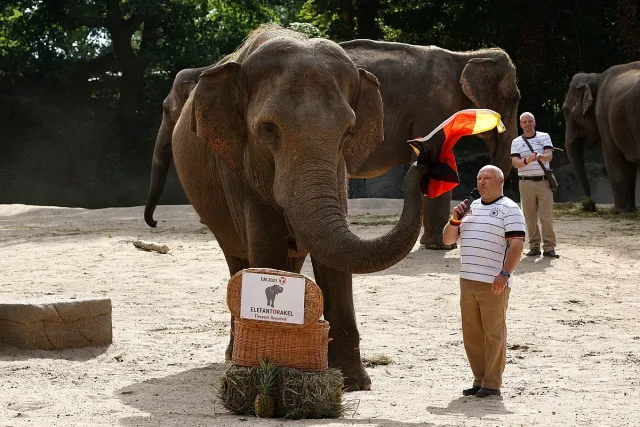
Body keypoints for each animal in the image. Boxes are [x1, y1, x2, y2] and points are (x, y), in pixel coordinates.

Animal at [156, 24, 434, 391]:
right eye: (267, 129)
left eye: (348, 131)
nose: (420, 154)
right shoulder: (235, 167)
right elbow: (267, 247)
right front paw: (269, 366)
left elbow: (334, 261)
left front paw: (352, 383)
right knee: (236, 258)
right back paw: (232, 355)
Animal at [339, 40, 520, 248]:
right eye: (510, 101)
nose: (474, 191)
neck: (466, 56)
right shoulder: (436, 108)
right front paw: (442, 246)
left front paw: (432, 244)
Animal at [563, 62, 640, 212]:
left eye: (565, 111)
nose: (590, 205)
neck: (595, 76)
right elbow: (629, 161)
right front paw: (629, 210)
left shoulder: (602, 114)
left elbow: (610, 153)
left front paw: (617, 211)